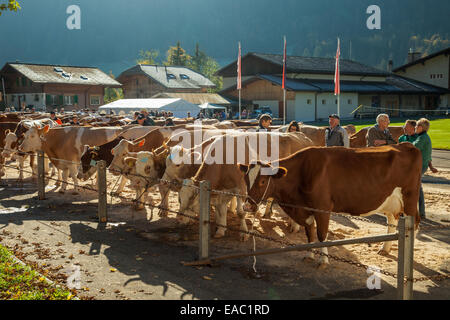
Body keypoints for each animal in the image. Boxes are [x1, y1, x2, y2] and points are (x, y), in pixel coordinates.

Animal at [239, 142, 422, 268]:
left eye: (263, 181)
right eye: (246, 179)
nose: (247, 207)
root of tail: (407, 145)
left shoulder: (322, 208)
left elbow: (321, 235)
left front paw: (323, 261)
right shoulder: (306, 209)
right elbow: (310, 233)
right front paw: (310, 255)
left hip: (410, 198)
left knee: (413, 225)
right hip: (389, 201)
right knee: (392, 221)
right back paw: (385, 248)